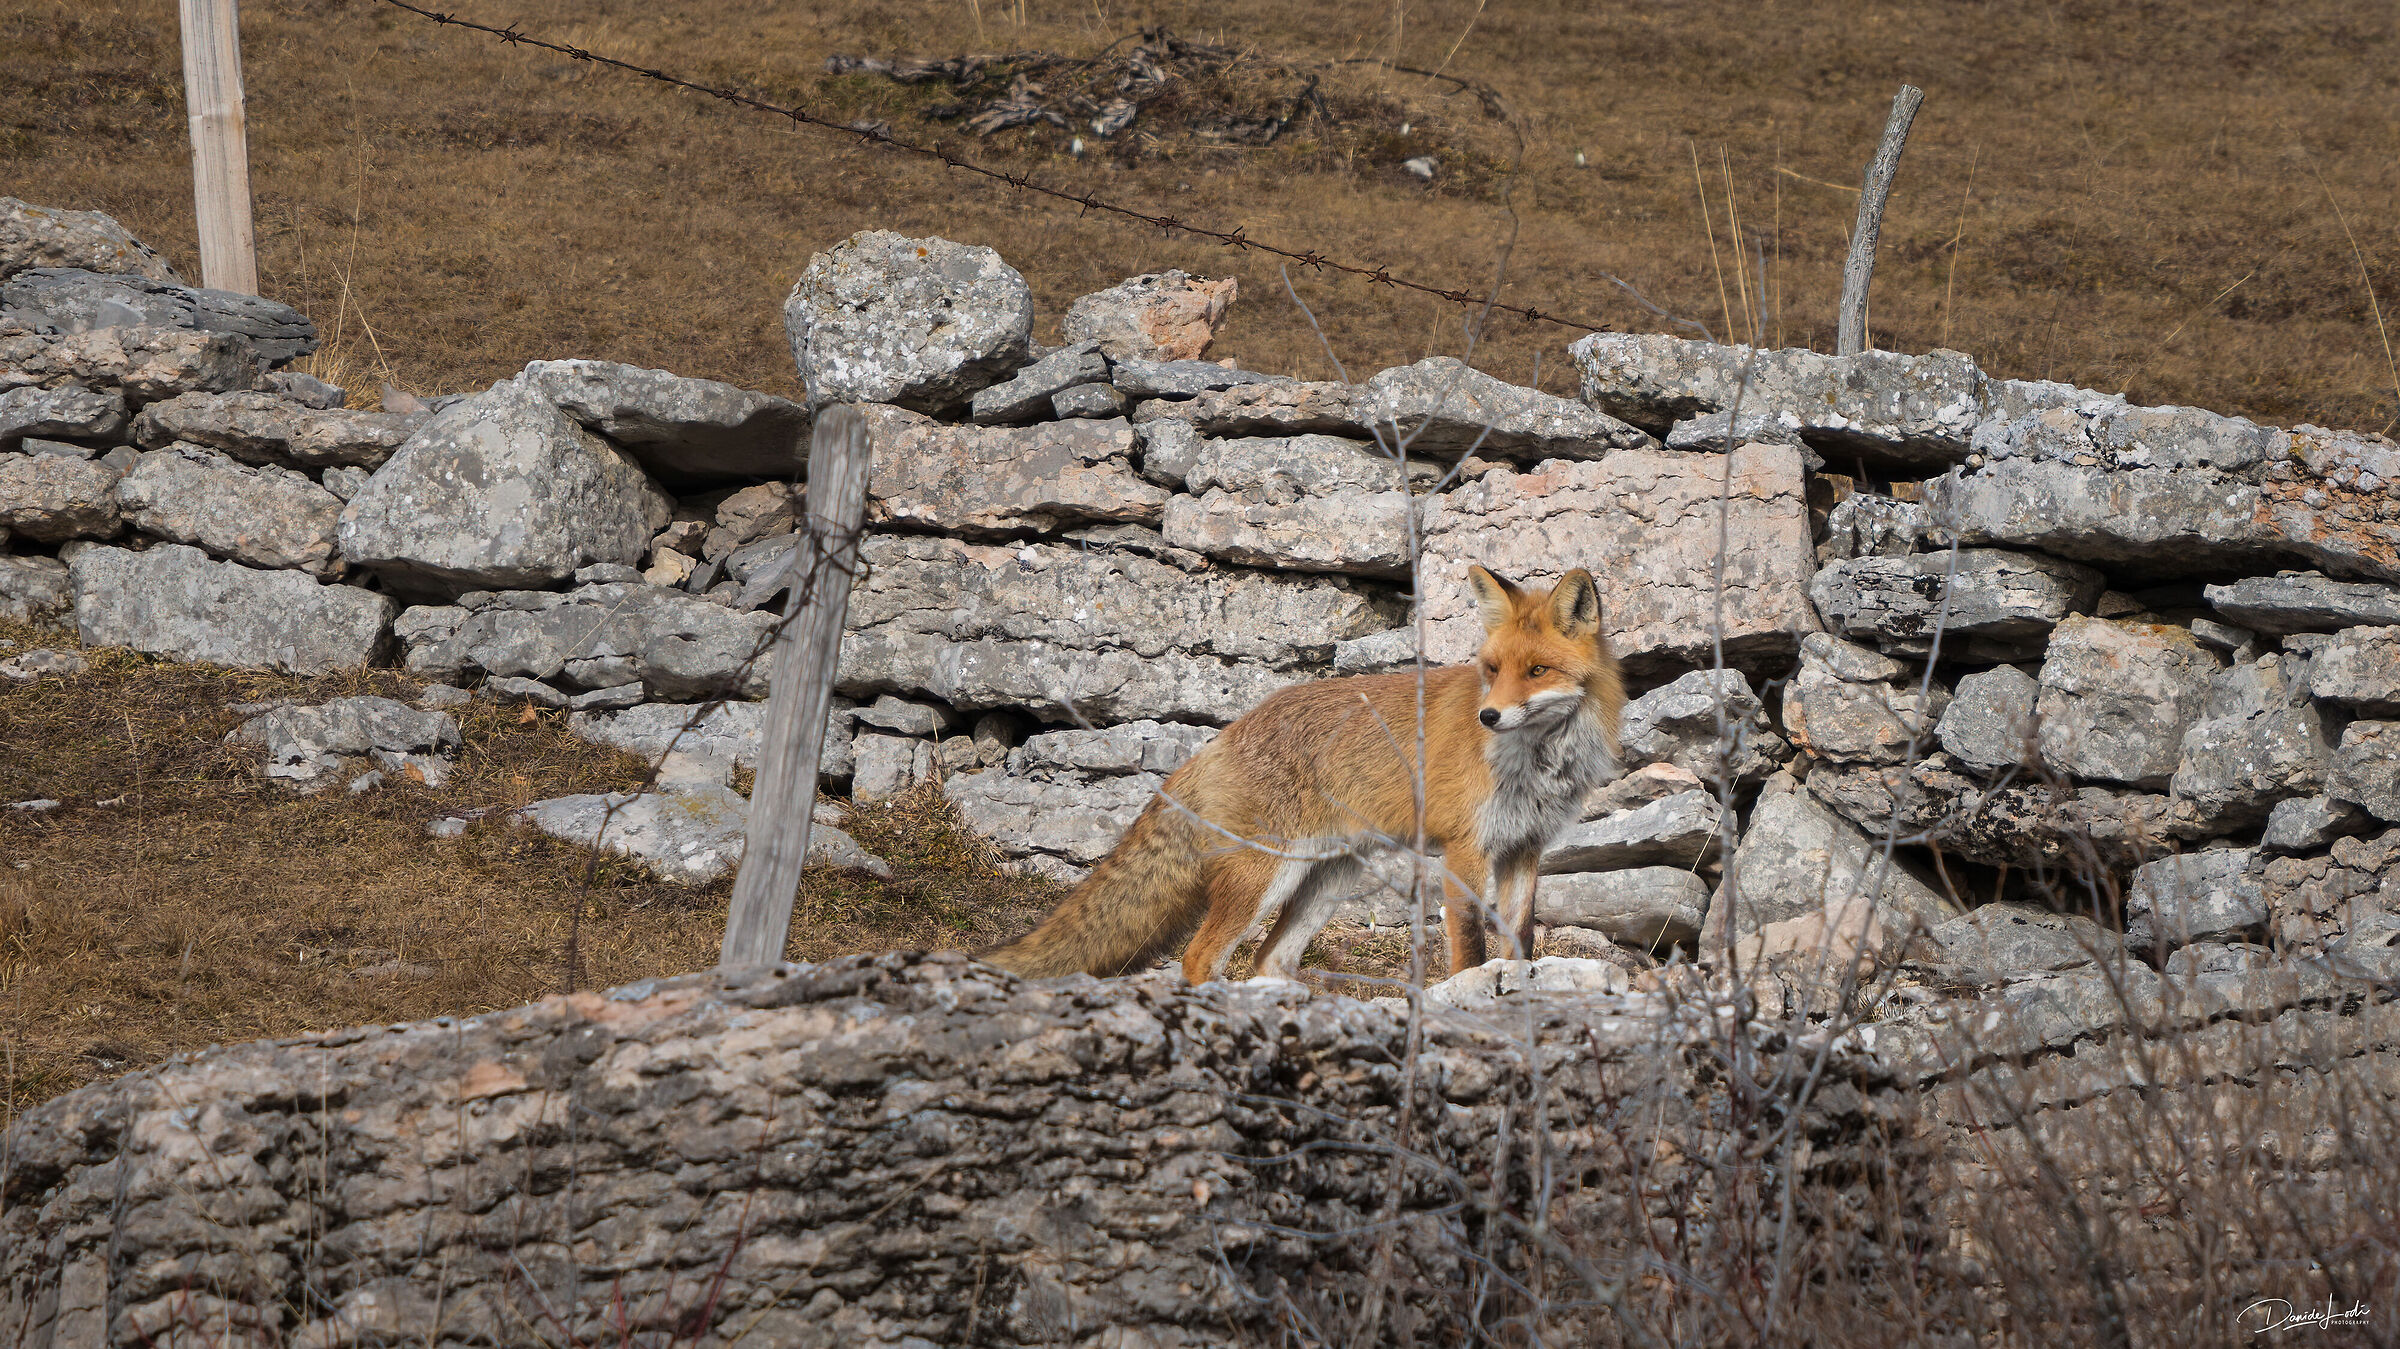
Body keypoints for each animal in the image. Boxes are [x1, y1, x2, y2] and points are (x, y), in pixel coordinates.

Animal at [981, 564, 1626, 984]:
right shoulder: (1465, 847)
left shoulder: (1524, 847)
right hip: (1265, 876)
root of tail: (1226, 732)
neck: (1538, 764)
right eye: (1492, 669)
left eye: (1537, 670)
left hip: (1326, 882)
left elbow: (1520, 941)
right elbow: (1469, 946)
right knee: (1201, 957)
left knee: (1269, 960)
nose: (1487, 716)